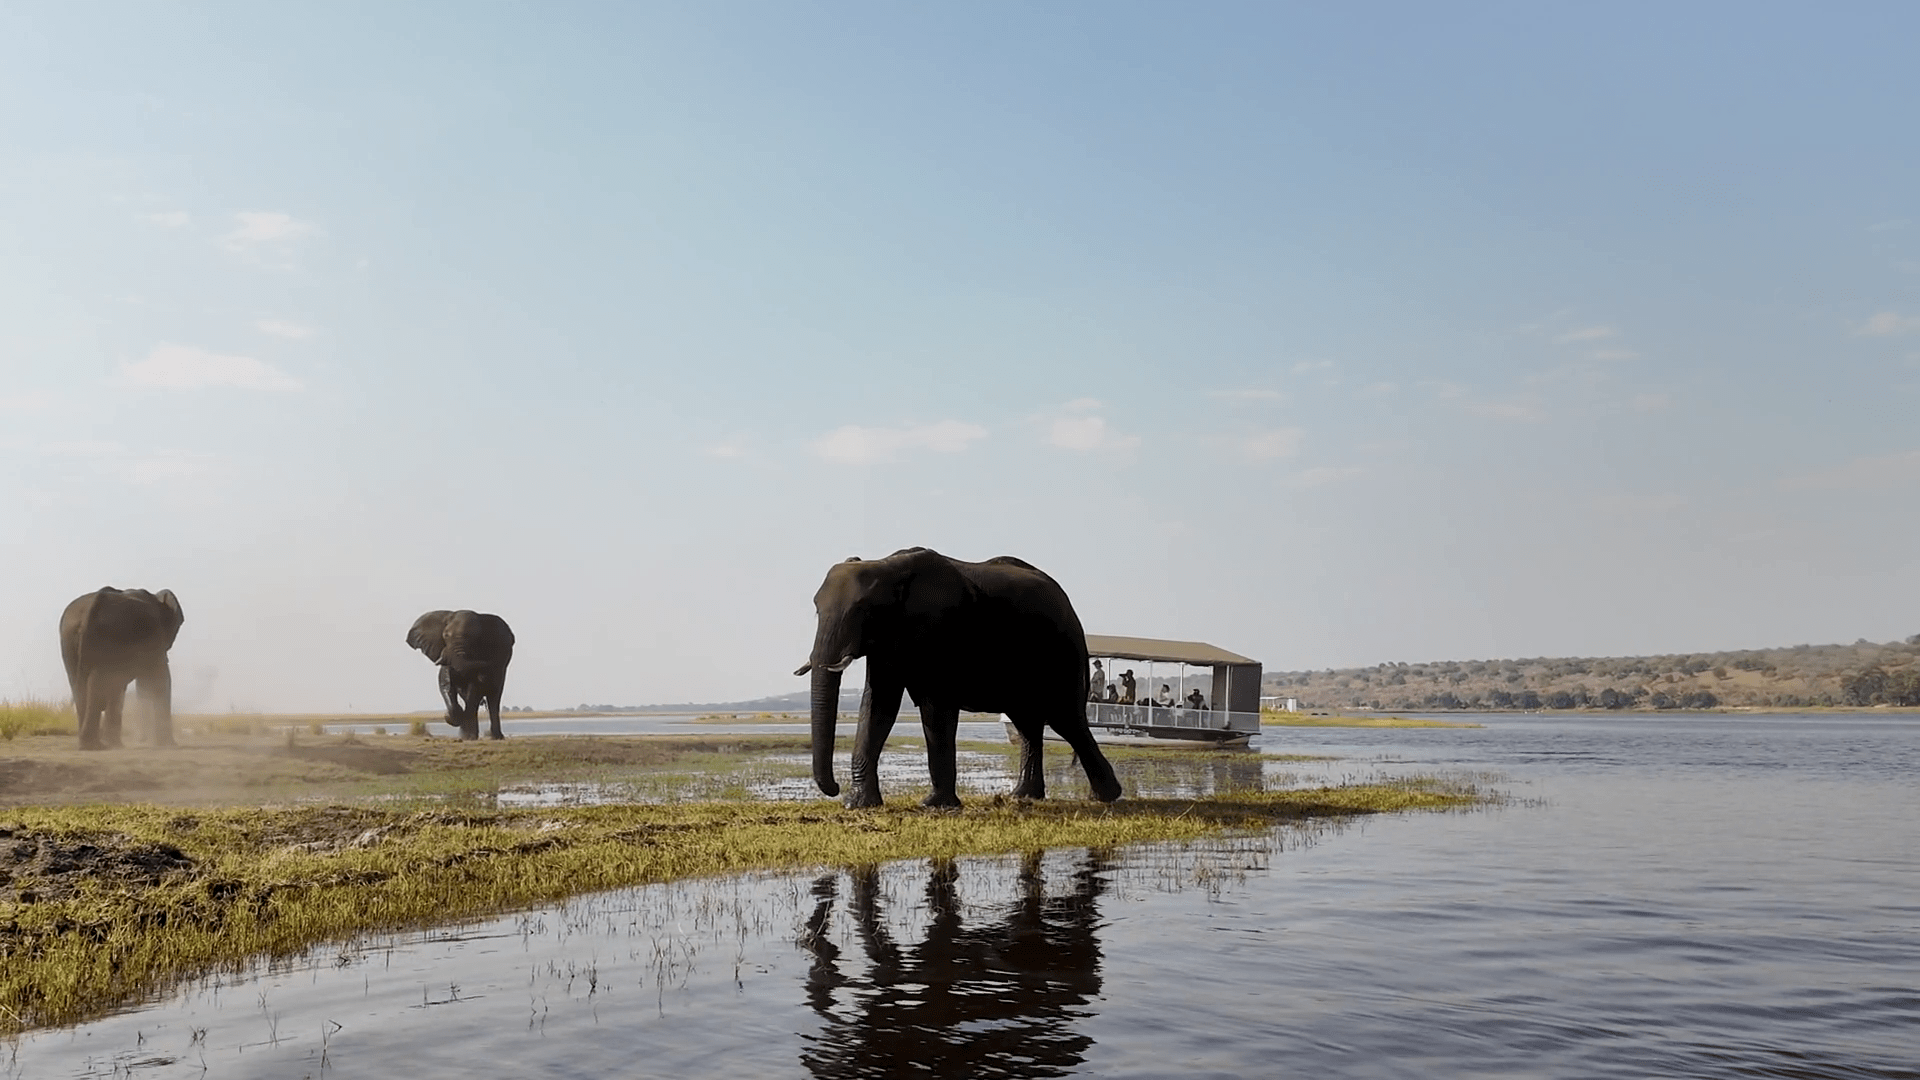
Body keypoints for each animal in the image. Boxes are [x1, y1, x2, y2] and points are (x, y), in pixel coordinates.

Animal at [59, 586, 185, 750]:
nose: (142, 739)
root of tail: (92, 606)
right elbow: (159, 679)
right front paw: (169, 745)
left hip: (70, 638)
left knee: (82, 686)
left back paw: (93, 745)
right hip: (110, 636)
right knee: (99, 683)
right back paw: (96, 746)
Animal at [406, 609, 514, 740]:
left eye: (475, 638)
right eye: (445, 636)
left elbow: (475, 687)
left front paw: (465, 731)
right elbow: (444, 681)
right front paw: (455, 715)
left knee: (493, 698)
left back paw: (494, 737)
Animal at [794, 547, 1122, 808]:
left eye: (863, 610)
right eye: (816, 609)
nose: (834, 789)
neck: (888, 567)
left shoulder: (941, 630)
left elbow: (935, 709)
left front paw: (935, 805)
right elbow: (877, 707)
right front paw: (858, 805)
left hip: (1063, 652)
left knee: (1066, 720)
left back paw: (1106, 797)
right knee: (1028, 723)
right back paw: (1024, 797)